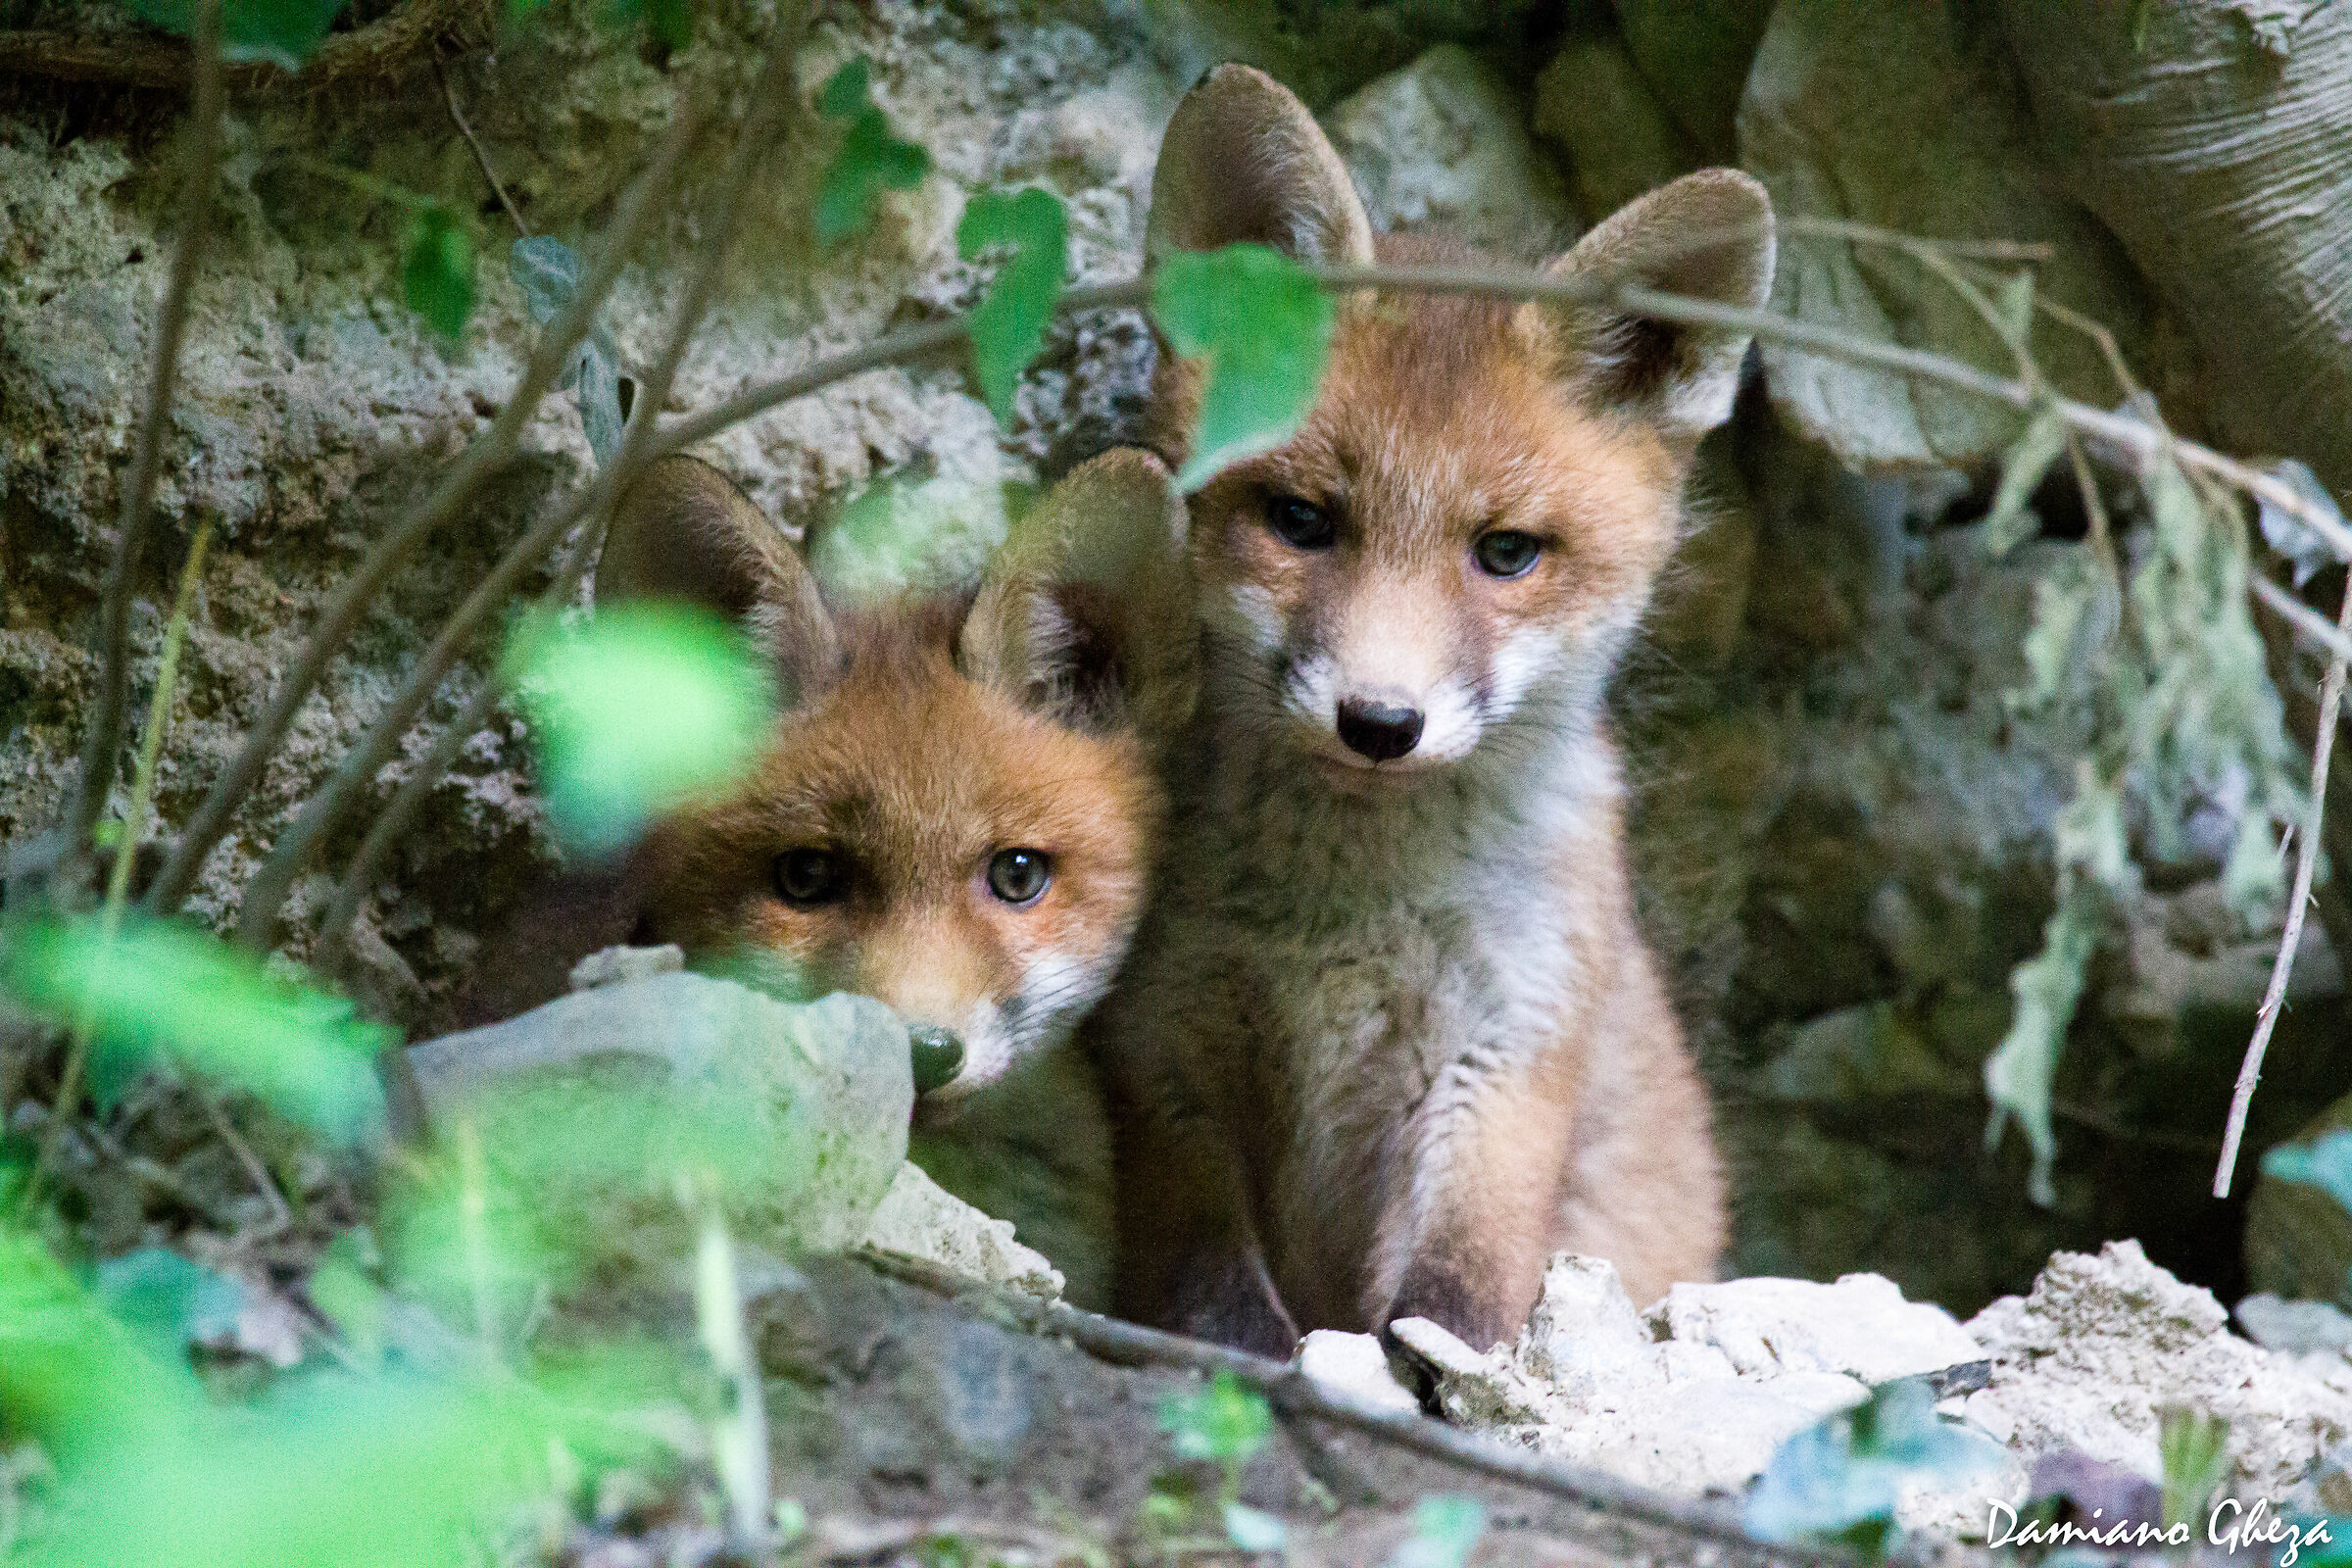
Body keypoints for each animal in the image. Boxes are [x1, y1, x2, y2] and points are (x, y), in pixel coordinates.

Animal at [1091, 64, 1778, 1356]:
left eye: (1506, 552)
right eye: (1300, 520)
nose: (1379, 721)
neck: (1349, 915)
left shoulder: (1509, 1050)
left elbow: (1462, 1289)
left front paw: (1439, 1377)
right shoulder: (1166, 1047)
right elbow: (1213, 1283)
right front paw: (1244, 1359)